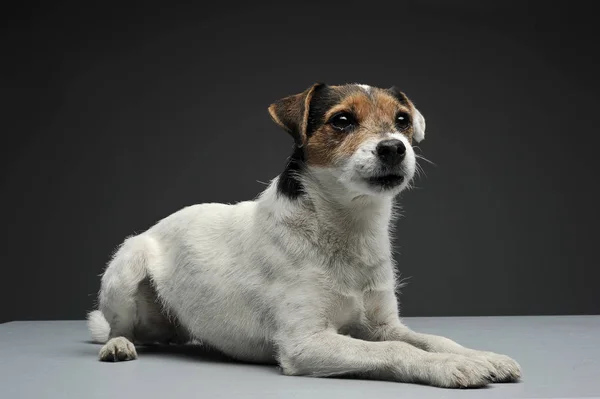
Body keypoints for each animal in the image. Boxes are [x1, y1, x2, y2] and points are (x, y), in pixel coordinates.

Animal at [88, 83, 520, 390]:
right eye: (342, 120)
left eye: (402, 120)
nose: (394, 148)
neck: (345, 227)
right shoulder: (306, 342)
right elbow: (397, 349)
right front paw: (453, 366)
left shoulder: (382, 325)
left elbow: (431, 338)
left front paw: (478, 355)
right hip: (125, 268)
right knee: (117, 327)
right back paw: (117, 345)